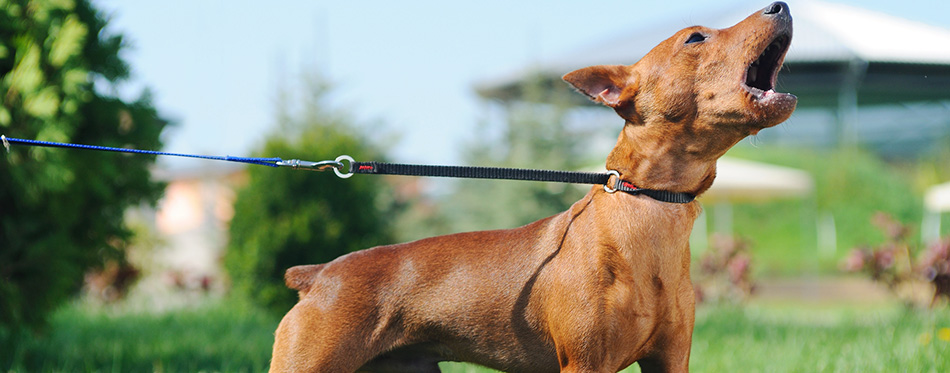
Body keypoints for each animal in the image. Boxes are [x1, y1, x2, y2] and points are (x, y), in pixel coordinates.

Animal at [274, 2, 796, 372]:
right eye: (695, 37)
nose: (782, 5)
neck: (648, 201)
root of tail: (318, 274)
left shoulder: (670, 360)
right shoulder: (586, 363)